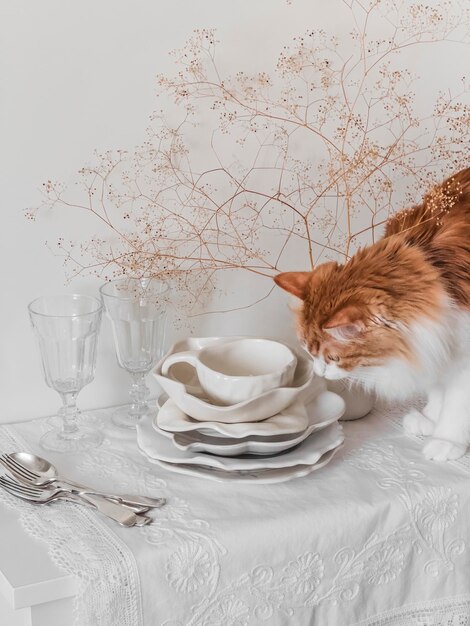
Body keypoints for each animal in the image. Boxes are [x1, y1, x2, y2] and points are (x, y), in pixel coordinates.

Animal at [274, 168, 470, 460]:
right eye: (309, 352)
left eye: (333, 358)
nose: (320, 373)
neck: (436, 269)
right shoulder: (437, 345)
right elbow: (437, 389)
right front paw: (430, 419)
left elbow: (457, 405)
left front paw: (446, 439)